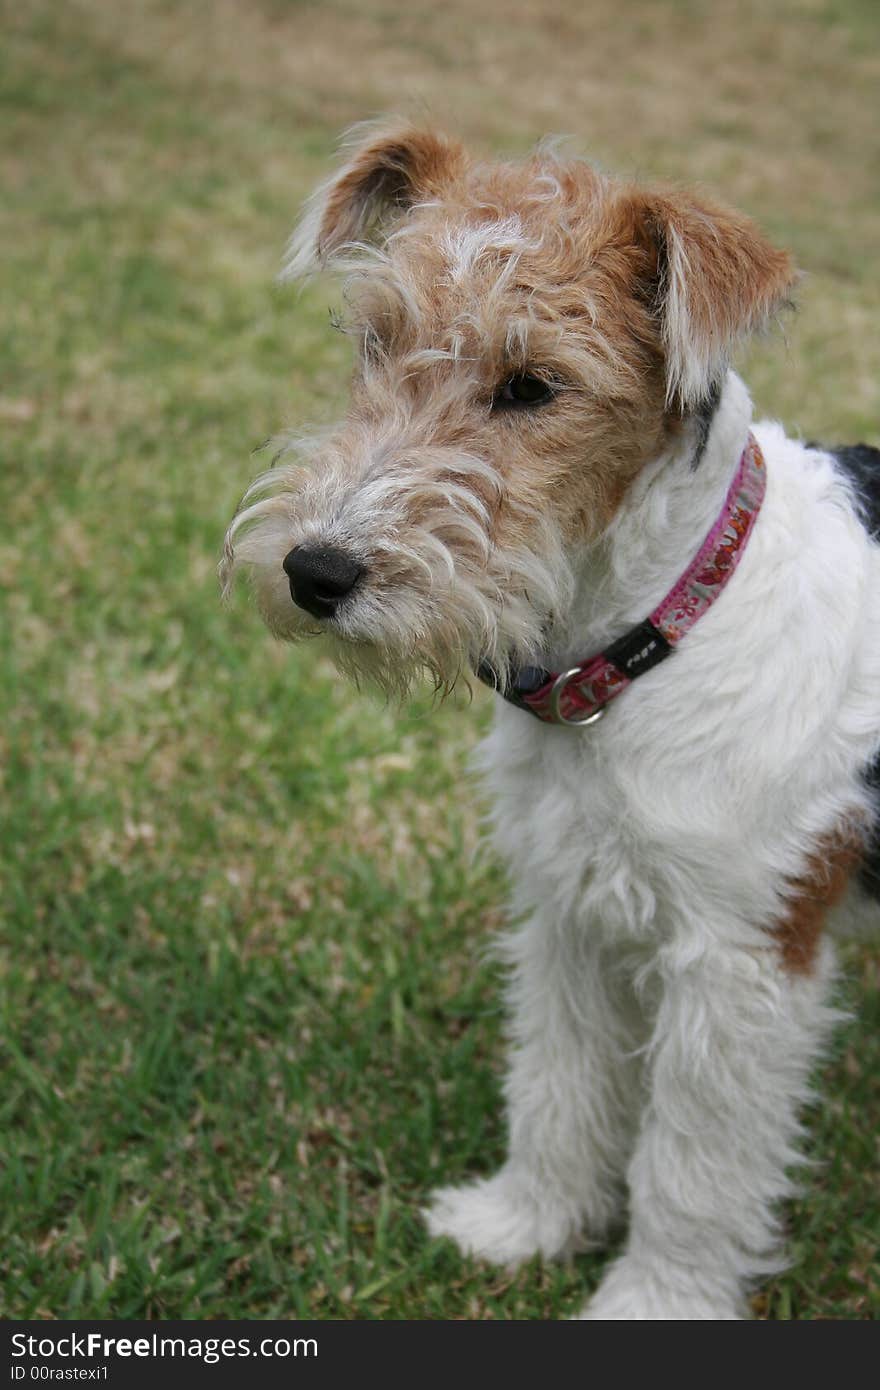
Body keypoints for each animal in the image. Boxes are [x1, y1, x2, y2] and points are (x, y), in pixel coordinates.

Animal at [221, 125, 878, 1317]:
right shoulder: (572, 910)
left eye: (534, 386)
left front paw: (655, 1300)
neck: (658, 630)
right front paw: (521, 1227)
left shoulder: (741, 962)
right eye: (375, 340)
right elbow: (560, 1088)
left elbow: (691, 1167)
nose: (315, 571)